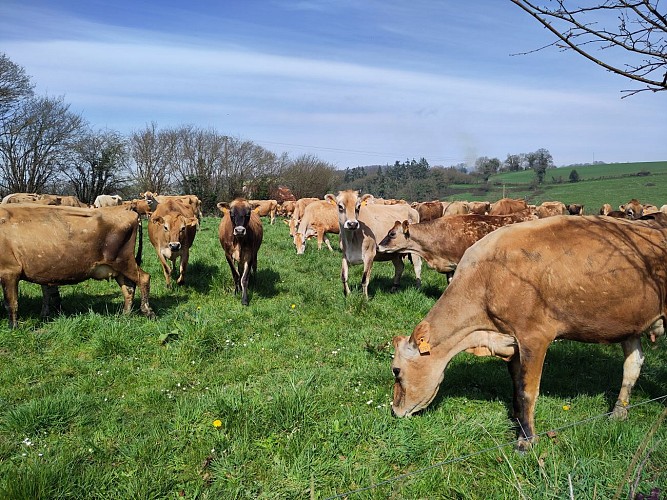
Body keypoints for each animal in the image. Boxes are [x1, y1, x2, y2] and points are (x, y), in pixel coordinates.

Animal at [0, 205, 154, 328]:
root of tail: (127, 209)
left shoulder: (9, 271)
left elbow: (11, 302)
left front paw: (13, 327)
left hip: (123, 261)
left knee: (144, 278)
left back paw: (147, 311)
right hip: (118, 267)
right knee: (128, 288)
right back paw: (125, 314)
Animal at [390, 215, 666, 450]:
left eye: (396, 371)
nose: (394, 411)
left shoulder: (534, 337)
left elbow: (528, 390)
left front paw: (526, 440)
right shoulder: (511, 340)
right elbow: (515, 382)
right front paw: (516, 418)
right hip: (631, 324)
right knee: (632, 366)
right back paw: (619, 412)